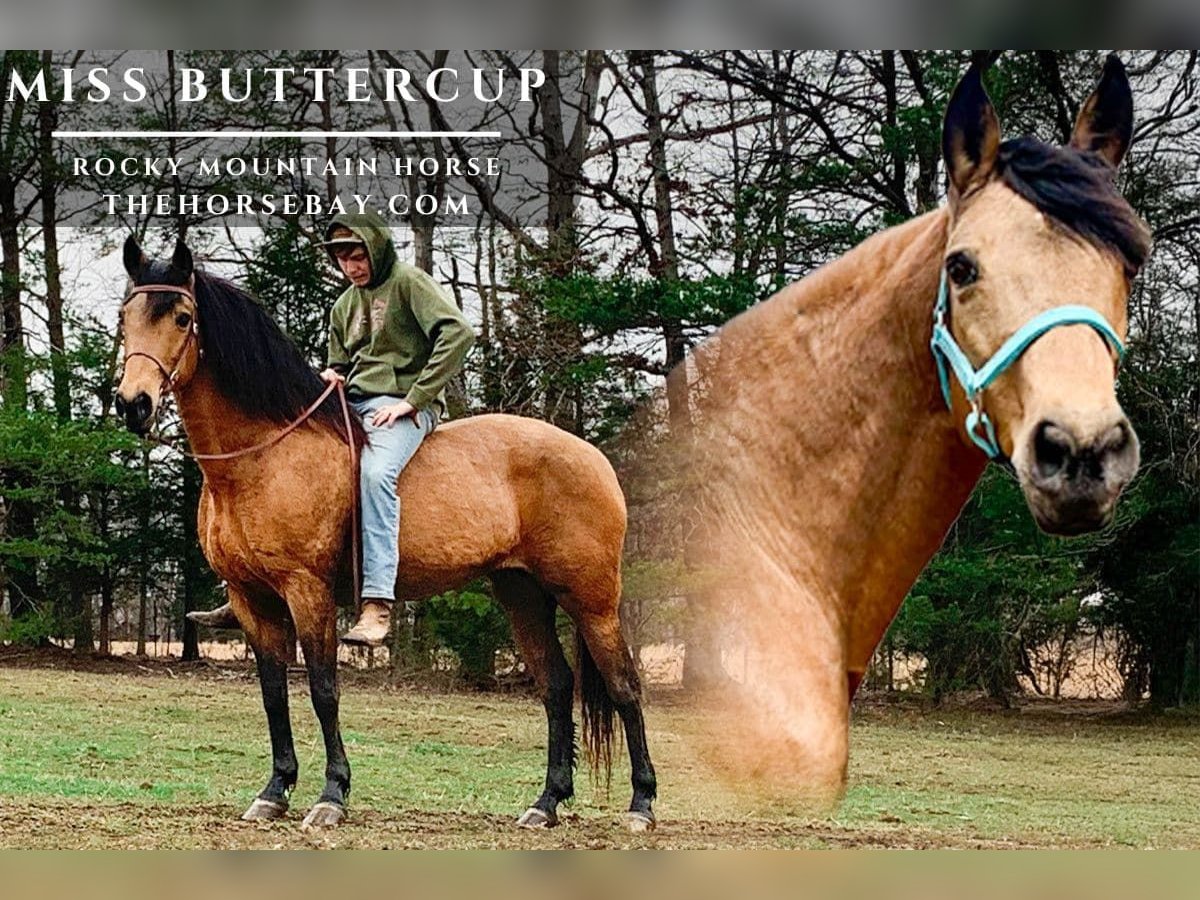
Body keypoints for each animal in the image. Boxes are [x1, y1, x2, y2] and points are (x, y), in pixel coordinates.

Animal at [114, 239, 657, 832]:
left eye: (182, 317)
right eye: (125, 317)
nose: (133, 403)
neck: (264, 454)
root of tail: (594, 458)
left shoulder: (307, 592)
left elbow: (323, 690)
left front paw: (331, 795)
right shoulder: (252, 599)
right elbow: (273, 694)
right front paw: (275, 790)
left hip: (591, 600)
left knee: (625, 686)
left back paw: (641, 804)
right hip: (522, 594)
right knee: (556, 688)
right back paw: (546, 803)